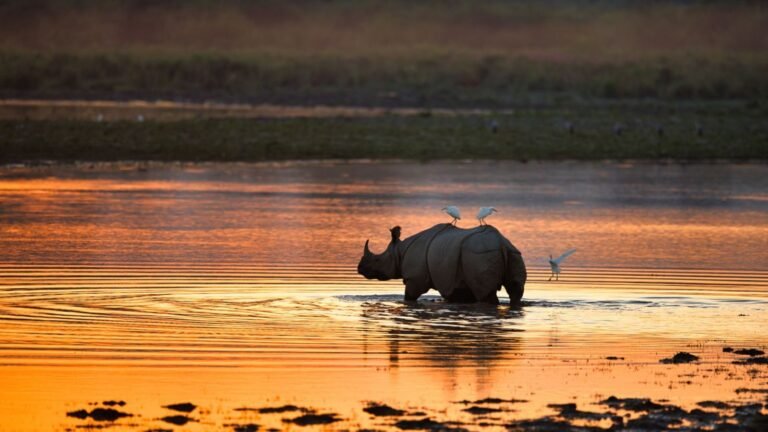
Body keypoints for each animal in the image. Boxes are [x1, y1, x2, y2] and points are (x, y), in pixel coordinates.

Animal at [357, 223, 527, 304]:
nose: (360, 269)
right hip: (512, 253)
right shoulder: (455, 281)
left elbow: (409, 297)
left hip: (480, 255)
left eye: (377, 260)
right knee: (516, 290)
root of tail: (501, 243)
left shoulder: (415, 279)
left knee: (485, 295)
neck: (399, 252)